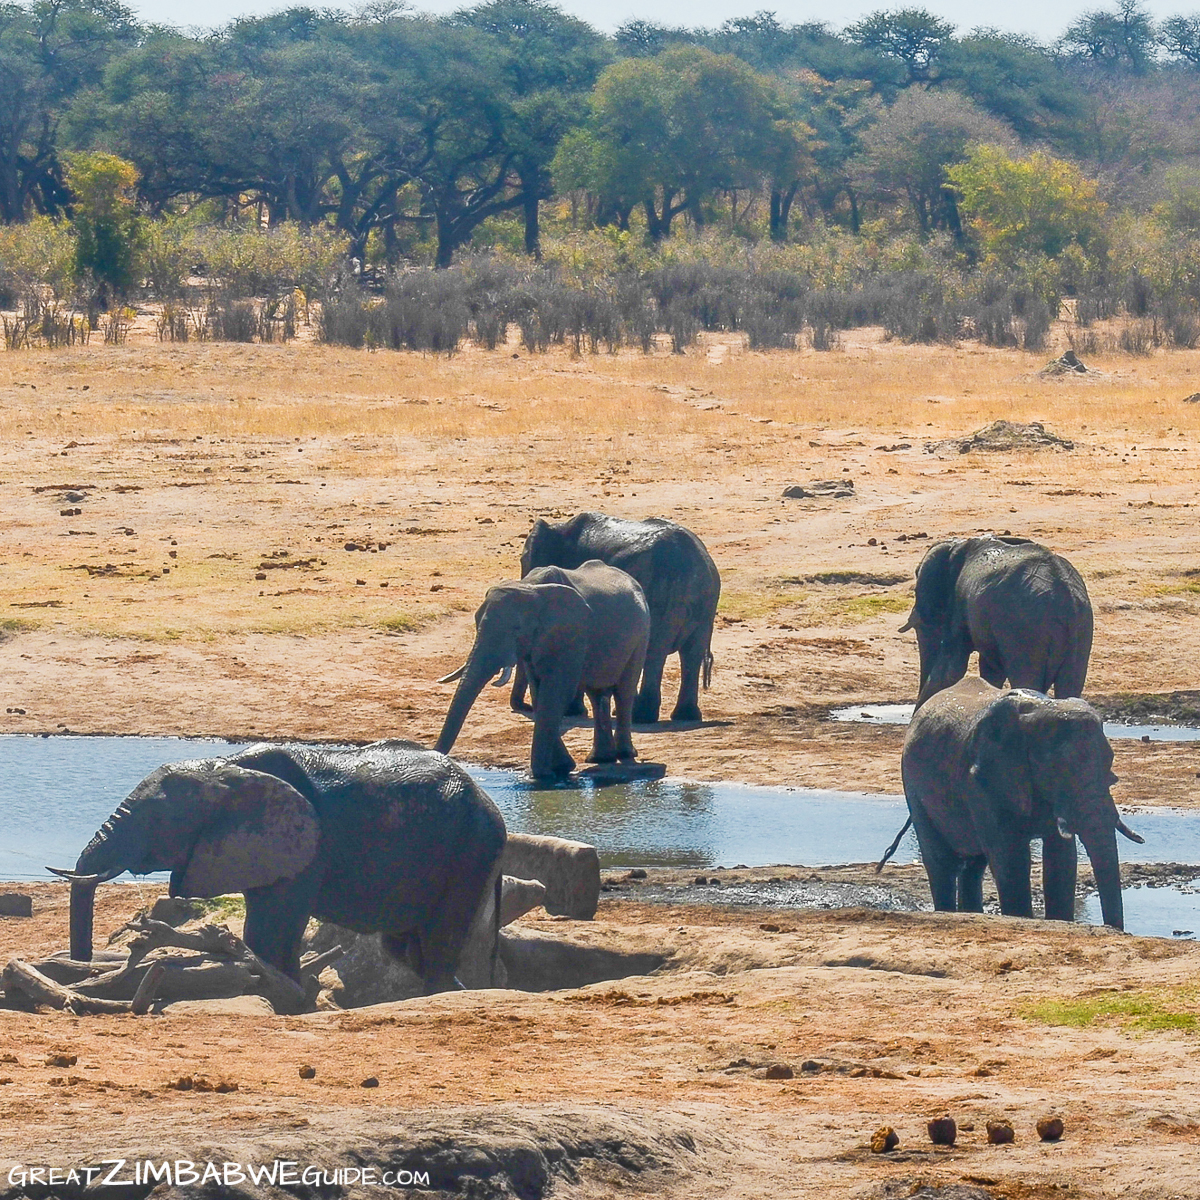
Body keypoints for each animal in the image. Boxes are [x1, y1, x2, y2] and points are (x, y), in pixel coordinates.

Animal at [52, 740, 507, 993]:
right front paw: (292, 991)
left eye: (156, 821)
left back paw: (441, 991)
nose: (81, 968)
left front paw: (288, 994)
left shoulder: (308, 846)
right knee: (405, 946)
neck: (225, 764)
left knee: (438, 939)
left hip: (472, 849)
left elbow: (269, 933)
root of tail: (488, 800)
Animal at [436, 559, 650, 779]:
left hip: (642, 634)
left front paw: (544, 775)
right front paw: (561, 768)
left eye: (517, 629)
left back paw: (625, 754)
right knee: (597, 693)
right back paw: (601, 759)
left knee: (624, 690)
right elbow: (539, 692)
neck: (529, 587)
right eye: (476, 622)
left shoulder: (571, 633)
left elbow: (555, 691)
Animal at [514, 513, 720, 724]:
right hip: (706, 605)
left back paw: (641, 717)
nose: (527, 707)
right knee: (691, 653)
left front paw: (572, 711)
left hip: (663, 597)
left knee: (655, 651)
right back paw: (685, 716)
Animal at [901, 534, 1093, 709]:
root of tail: (1067, 599)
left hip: (1025, 631)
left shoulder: (959, 605)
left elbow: (950, 669)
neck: (958, 543)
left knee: (1027, 678)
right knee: (1070, 684)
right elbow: (991, 670)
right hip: (1082, 628)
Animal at [901, 676, 1143, 929]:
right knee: (941, 861)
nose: (1111, 927)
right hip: (913, 786)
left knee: (974, 865)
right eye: (1056, 769)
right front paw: (1022, 916)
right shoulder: (984, 779)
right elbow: (1011, 858)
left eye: (1110, 763)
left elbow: (1061, 857)